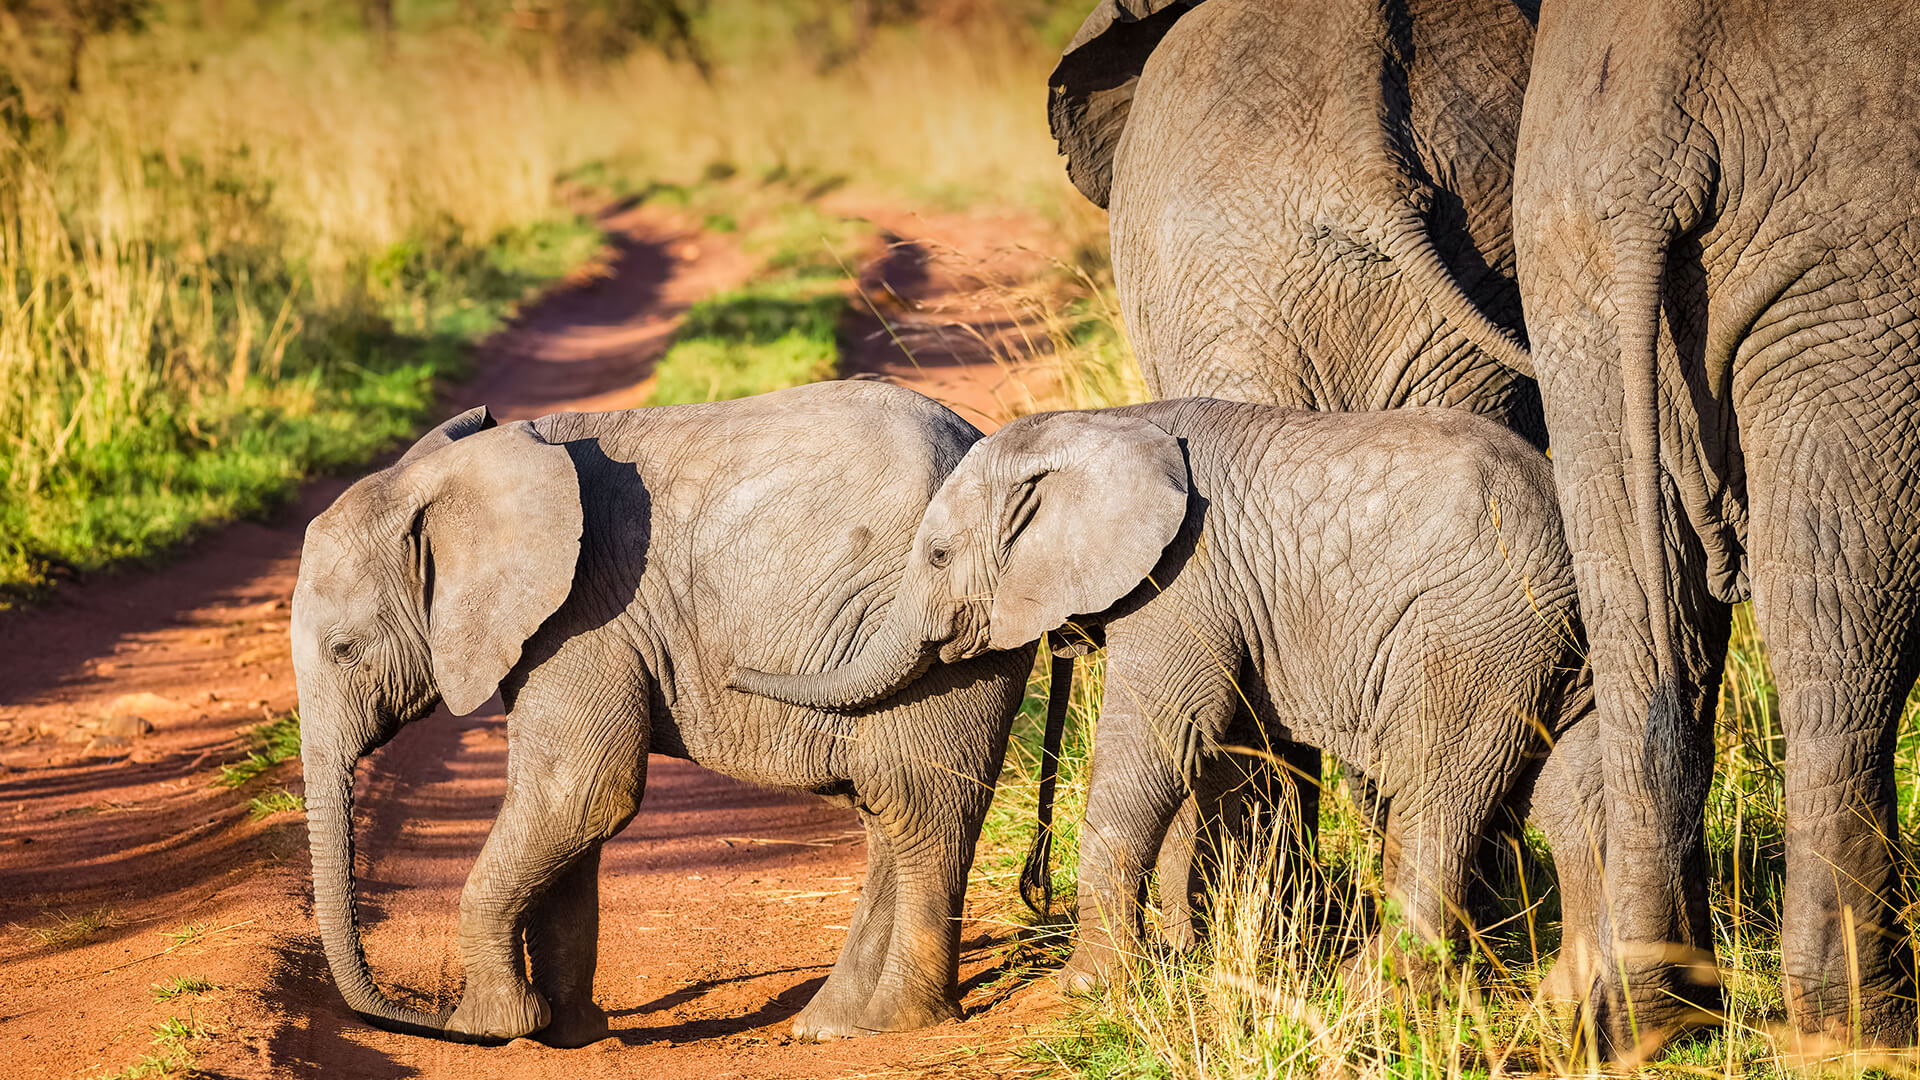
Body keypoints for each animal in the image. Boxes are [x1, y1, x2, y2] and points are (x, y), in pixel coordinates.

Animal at [288, 380, 1036, 1045]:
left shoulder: (583, 616)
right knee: (892, 815)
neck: (457, 476)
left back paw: (895, 1024)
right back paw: (832, 1025)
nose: (418, 1015)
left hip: (942, 626)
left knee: (917, 809)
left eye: (344, 650)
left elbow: (580, 793)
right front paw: (566, 1035)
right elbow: (569, 814)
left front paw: (490, 1027)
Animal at [733, 397, 1605, 991]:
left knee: (1438, 790)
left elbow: (1158, 741)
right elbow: (1224, 752)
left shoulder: (1185, 580)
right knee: (1574, 795)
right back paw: (1576, 1003)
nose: (735, 670)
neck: (1108, 426)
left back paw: (1373, 993)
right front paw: (1196, 951)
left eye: (940, 555)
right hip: (1556, 647)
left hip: (1477, 627)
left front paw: (1087, 986)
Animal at [1512, 0, 1920, 1053]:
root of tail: (1651, 158)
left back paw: (1651, 1018)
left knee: (1648, 632)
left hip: (1570, 282)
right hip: (1855, 285)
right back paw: (1865, 1031)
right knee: (1843, 642)